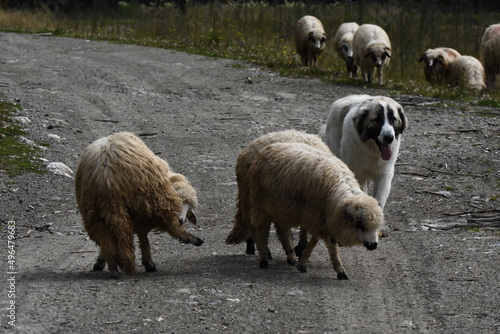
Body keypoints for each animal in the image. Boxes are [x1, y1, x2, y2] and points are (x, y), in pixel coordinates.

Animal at [74, 132, 203, 278]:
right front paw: (148, 263)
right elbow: (143, 235)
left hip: (94, 209)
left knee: (105, 237)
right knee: (166, 227)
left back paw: (113, 267)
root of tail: (107, 176)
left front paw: (100, 260)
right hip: (148, 198)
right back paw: (193, 239)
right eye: (181, 202)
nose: (181, 220)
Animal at [236, 140, 384, 278]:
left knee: (282, 229)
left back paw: (290, 255)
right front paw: (340, 270)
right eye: (361, 225)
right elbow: (330, 245)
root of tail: (269, 147)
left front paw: (303, 262)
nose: (374, 245)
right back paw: (264, 258)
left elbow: (314, 241)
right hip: (260, 204)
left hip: (281, 208)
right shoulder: (317, 217)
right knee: (260, 230)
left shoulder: (321, 219)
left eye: (376, 226)